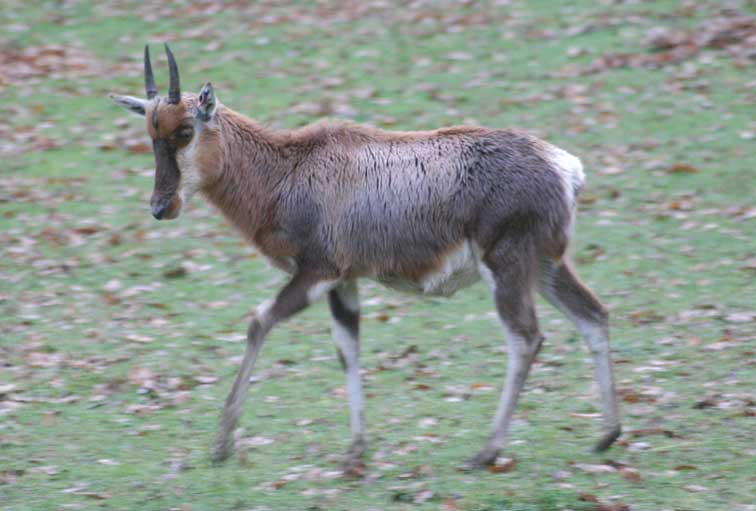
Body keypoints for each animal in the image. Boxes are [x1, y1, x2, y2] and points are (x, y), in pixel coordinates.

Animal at [109, 44, 621, 472]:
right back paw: (607, 436)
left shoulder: (316, 273)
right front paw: (355, 451)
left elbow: (258, 322)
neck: (292, 166)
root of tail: (564, 167)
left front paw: (222, 445)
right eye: (150, 132)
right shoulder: (344, 281)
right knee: (593, 315)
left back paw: (486, 453)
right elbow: (347, 349)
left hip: (508, 267)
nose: (161, 207)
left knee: (525, 337)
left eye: (185, 130)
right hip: (547, 266)